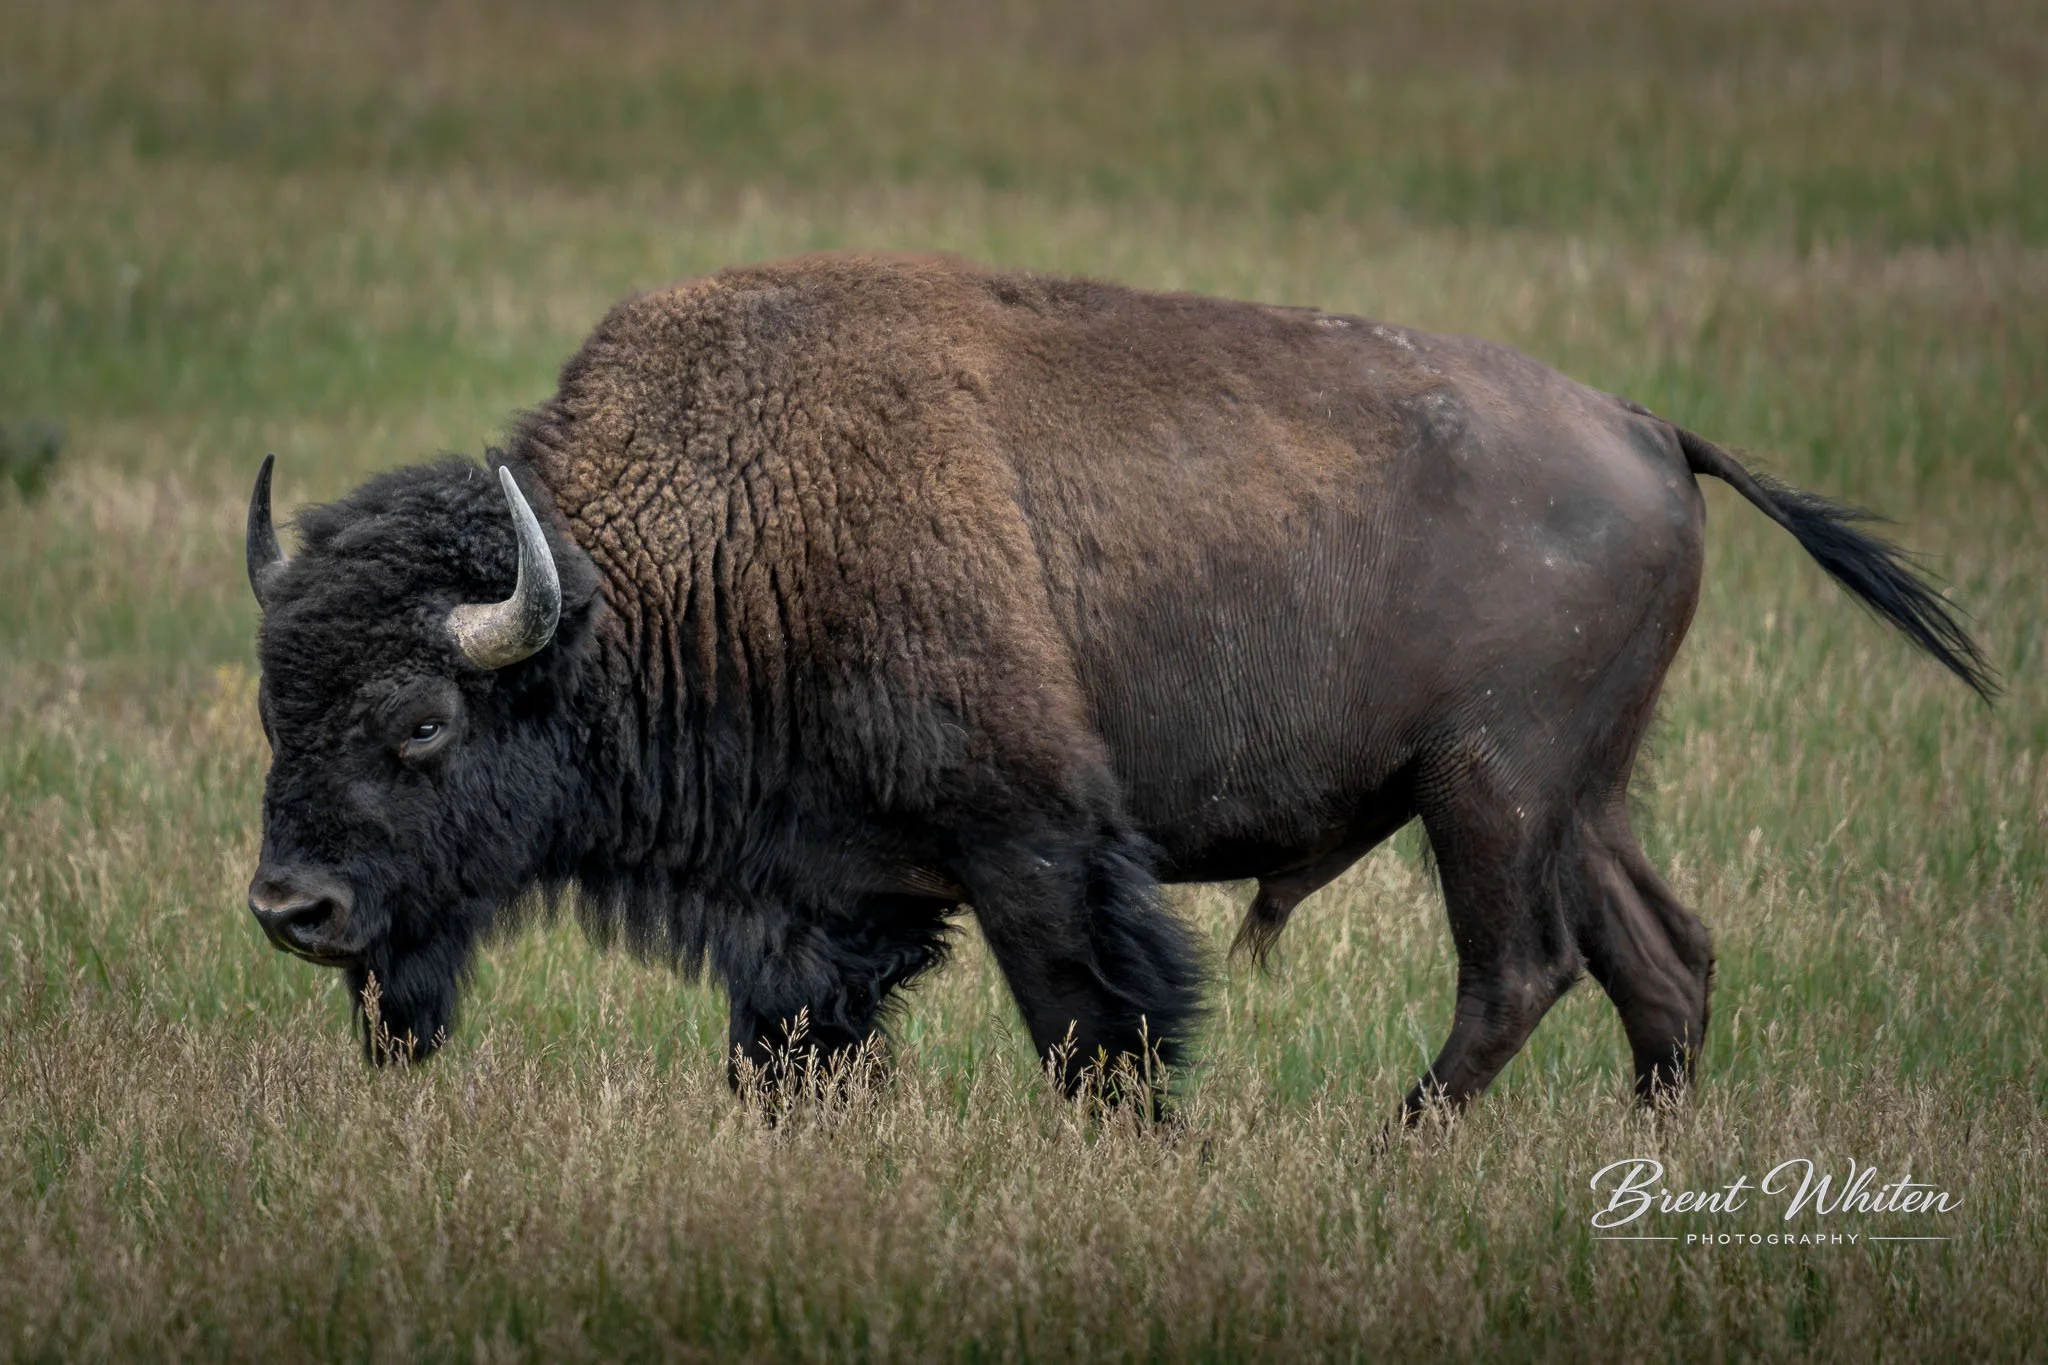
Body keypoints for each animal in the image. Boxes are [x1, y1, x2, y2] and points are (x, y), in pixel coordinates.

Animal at [244, 253, 1992, 1114]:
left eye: (422, 722)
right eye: (272, 706)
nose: (290, 908)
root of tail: (1645, 427)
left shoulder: (1035, 846)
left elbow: (1098, 1027)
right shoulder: (824, 896)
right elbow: (785, 1045)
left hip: (1485, 789)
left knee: (1524, 970)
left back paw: (1397, 1144)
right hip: (1582, 793)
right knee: (1663, 963)